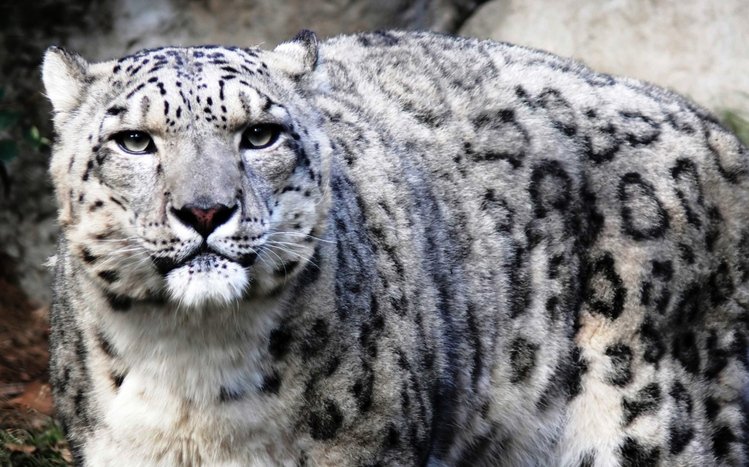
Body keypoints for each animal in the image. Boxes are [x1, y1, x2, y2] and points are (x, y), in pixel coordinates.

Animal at [41, 30, 749, 466]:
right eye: (135, 141)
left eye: (261, 134)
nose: (206, 211)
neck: (192, 368)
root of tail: (719, 134)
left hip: (656, 419)